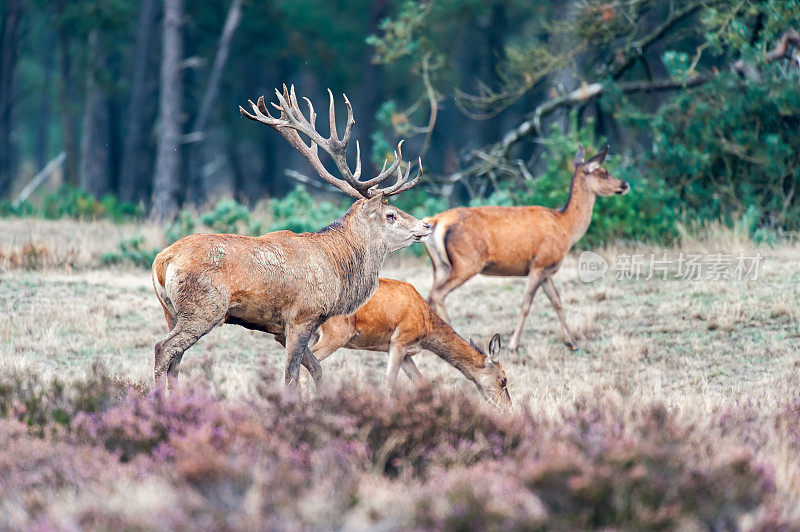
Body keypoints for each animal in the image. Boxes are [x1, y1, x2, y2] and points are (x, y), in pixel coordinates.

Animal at [151, 86, 432, 390]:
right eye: (391, 215)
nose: (427, 225)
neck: (338, 269)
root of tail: (161, 261)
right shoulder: (302, 316)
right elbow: (291, 376)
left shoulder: (280, 329)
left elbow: (316, 368)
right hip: (203, 308)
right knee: (163, 349)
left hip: (170, 311)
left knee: (175, 361)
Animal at [310, 278, 510, 408]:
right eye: (504, 379)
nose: (507, 406)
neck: (427, 323)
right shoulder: (399, 342)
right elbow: (390, 385)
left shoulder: (404, 352)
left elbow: (421, 381)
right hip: (336, 334)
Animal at [428, 145, 628, 354]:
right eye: (602, 172)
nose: (625, 184)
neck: (566, 228)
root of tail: (436, 220)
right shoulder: (539, 264)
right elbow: (526, 304)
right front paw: (514, 345)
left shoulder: (547, 270)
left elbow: (557, 302)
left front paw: (572, 342)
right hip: (467, 262)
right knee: (438, 293)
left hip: (441, 266)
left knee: (429, 296)